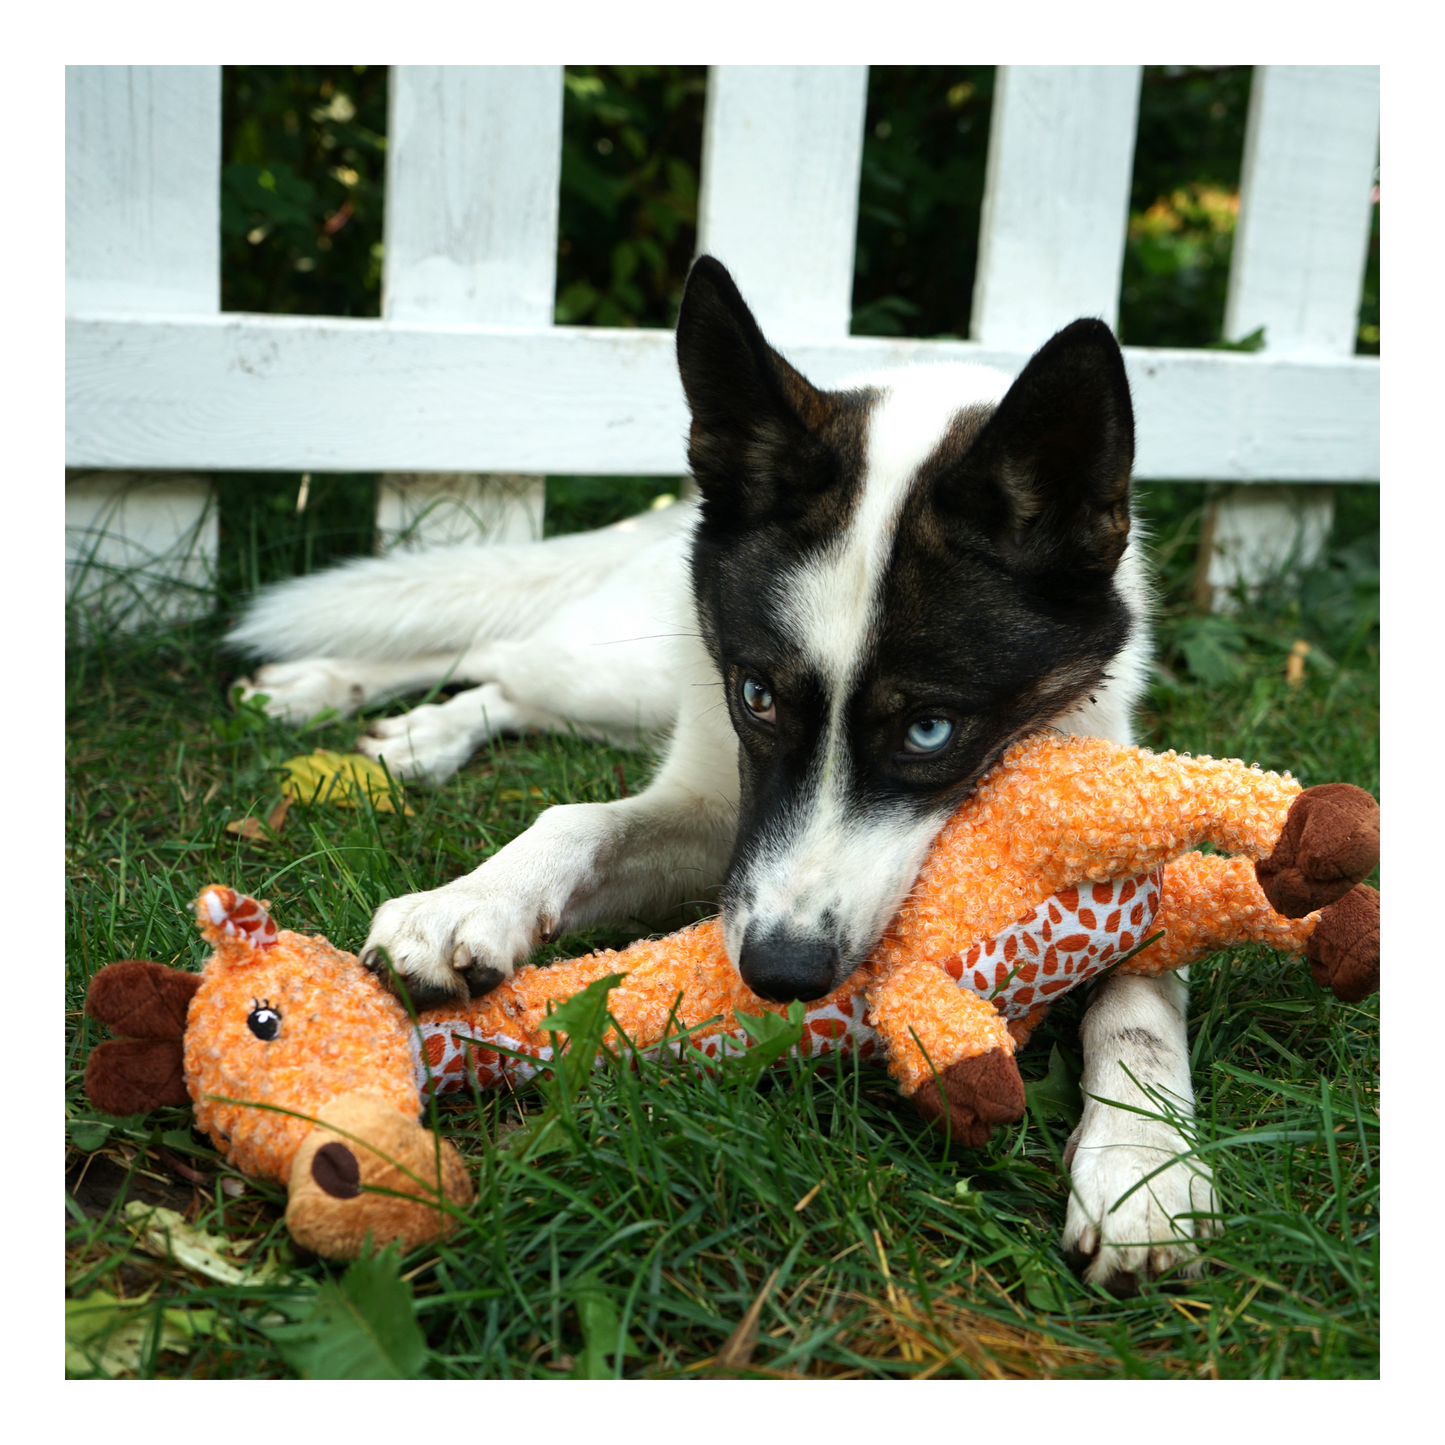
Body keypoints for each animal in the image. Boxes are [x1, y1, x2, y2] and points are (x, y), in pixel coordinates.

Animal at [234, 254, 1219, 1294]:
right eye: (757, 695)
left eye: (930, 729)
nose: (780, 973)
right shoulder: (725, 796)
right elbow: (577, 816)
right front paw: (469, 899)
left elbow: (1143, 995)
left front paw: (1144, 1163)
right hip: (618, 664)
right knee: (494, 648)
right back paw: (328, 691)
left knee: (505, 679)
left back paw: (413, 732)